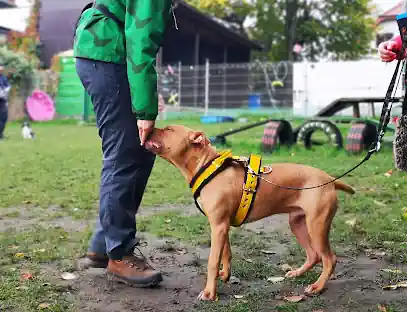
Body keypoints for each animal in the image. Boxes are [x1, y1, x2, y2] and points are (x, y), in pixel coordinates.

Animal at [145, 125, 356, 302]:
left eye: (168, 129)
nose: (149, 127)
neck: (207, 166)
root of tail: (328, 179)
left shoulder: (218, 226)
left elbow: (213, 260)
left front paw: (209, 292)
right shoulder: (222, 225)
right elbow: (226, 253)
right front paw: (225, 275)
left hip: (317, 225)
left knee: (329, 259)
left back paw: (317, 287)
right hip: (298, 223)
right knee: (314, 255)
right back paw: (297, 273)